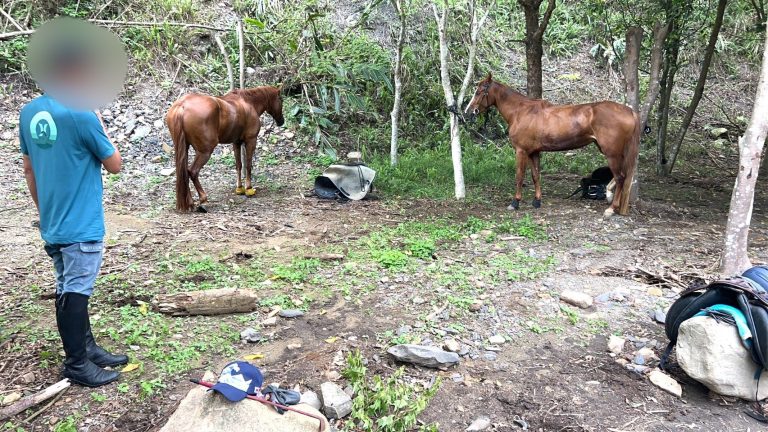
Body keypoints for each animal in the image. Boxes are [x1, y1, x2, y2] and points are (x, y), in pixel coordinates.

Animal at [464, 73, 640, 217]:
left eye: (479, 92)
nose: (468, 112)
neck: (520, 112)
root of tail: (629, 111)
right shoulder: (533, 152)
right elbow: (535, 176)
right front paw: (537, 201)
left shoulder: (521, 151)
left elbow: (519, 176)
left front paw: (515, 202)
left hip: (612, 154)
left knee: (620, 177)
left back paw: (611, 208)